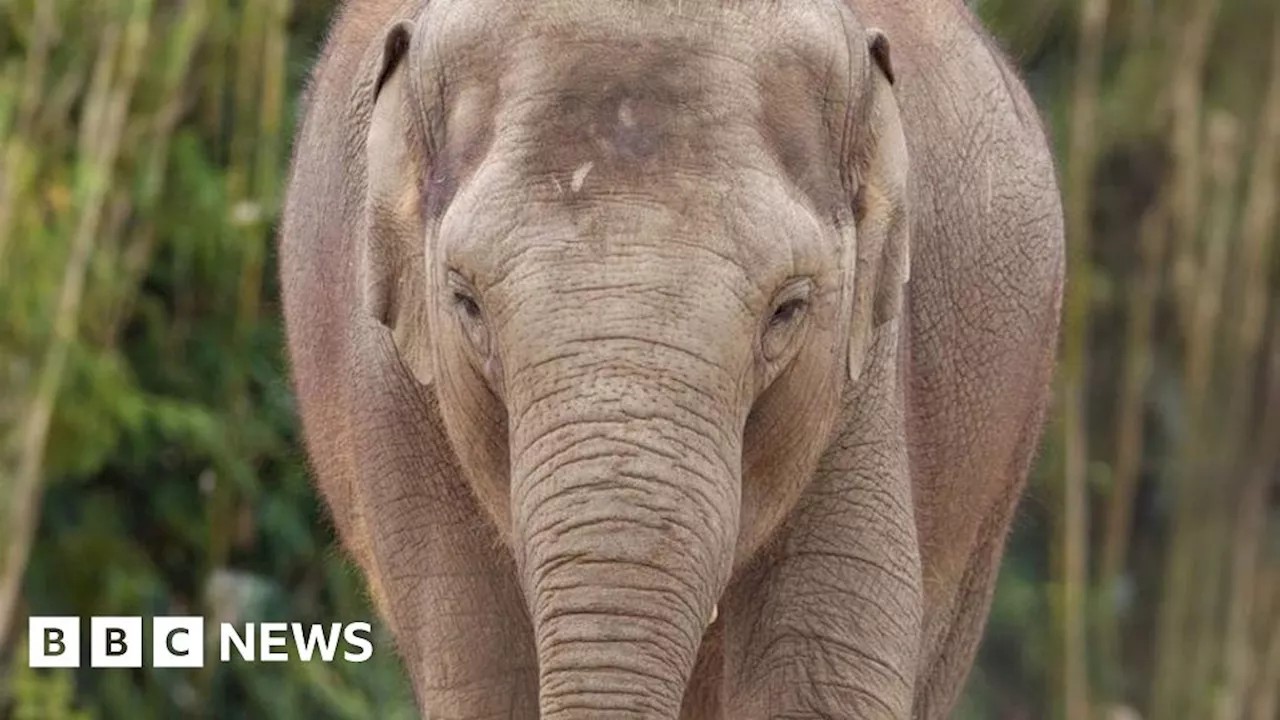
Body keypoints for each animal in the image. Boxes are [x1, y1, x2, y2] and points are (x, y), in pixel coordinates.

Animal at [282, 0, 1070, 712]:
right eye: (465, 301)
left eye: (788, 309)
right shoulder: (390, 391)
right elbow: (483, 677)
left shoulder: (863, 371)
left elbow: (815, 676)